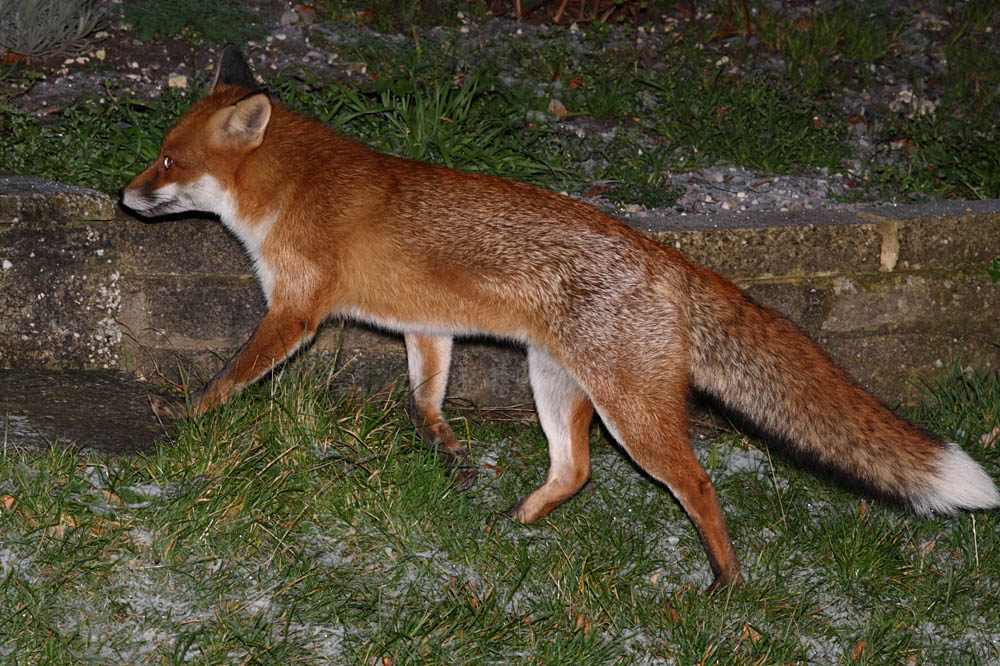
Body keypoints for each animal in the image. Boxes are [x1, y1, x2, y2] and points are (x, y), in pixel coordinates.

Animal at [122, 45, 999, 592]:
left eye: (167, 161)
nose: (123, 196)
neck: (291, 190)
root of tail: (669, 257)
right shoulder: (427, 327)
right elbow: (425, 399)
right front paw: (449, 453)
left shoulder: (296, 310)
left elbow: (233, 374)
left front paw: (190, 416)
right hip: (553, 384)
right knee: (574, 472)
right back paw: (518, 520)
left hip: (631, 415)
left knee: (698, 483)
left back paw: (725, 582)